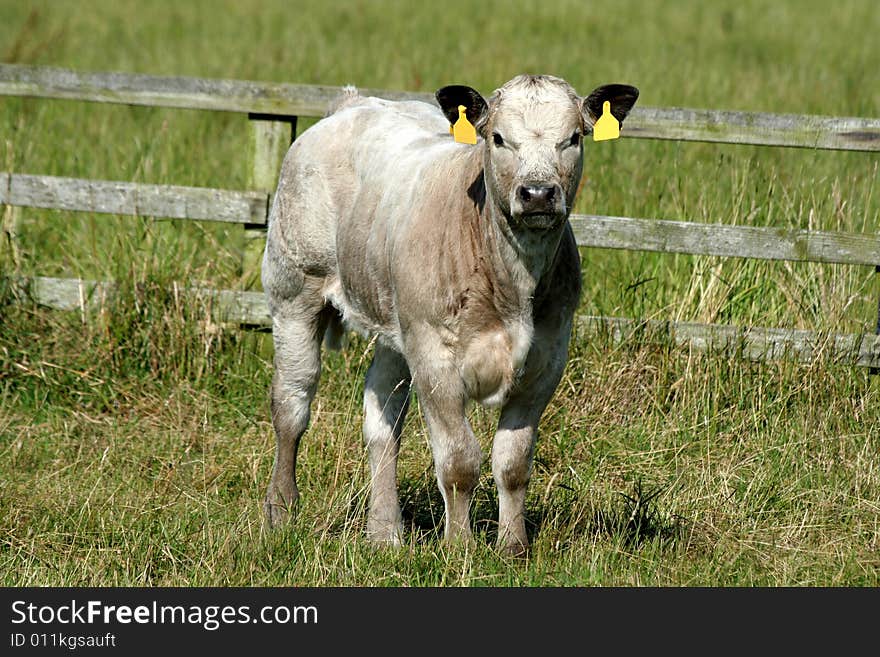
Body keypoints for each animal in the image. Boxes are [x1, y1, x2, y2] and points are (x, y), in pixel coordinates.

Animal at [262, 73, 640, 552]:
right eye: (498, 138)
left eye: (573, 138)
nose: (538, 194)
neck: (513, 283)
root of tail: (353, 103)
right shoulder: (435, 359)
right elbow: (460, 461)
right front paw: (459, 547)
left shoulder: (546, 361)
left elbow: (513, 462)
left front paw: (513, 547)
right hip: (294, 293)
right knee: (291, 406)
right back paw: (280, 509)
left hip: (395, 325)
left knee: (382, 419)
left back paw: (384, 531)